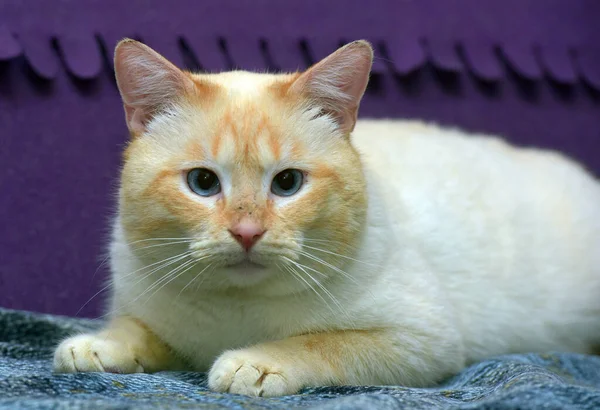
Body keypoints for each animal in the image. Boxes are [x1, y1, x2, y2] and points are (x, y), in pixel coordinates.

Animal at [52, 38, 600, 398]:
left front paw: (254, 363)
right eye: (203, 183)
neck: (237, 307)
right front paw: (96, 347)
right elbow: (135, 330)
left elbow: (318, 343)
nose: (247, 232)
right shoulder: (151, 313)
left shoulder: (419, 339)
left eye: (288, 184)